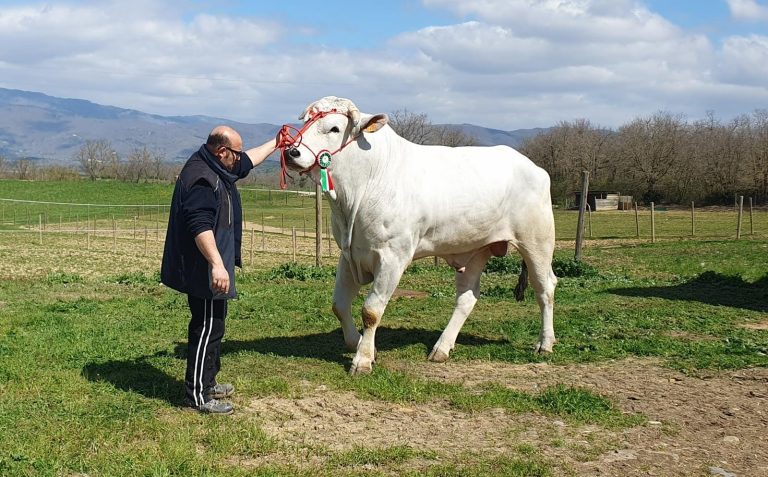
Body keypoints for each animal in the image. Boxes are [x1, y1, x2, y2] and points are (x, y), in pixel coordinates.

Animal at [282, 95, 560, 374]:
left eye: (334, 128)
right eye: (306, 122)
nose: (291, 152)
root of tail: (533, 166)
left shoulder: (393, 256)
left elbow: (371, 310)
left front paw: (362, 360)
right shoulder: (349, 253)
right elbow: (339, 305)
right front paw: (358, 343)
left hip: (537, 241)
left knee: (545, 287)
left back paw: (545, 343)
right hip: (476, 249)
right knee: (467, 297)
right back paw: (442, 348)